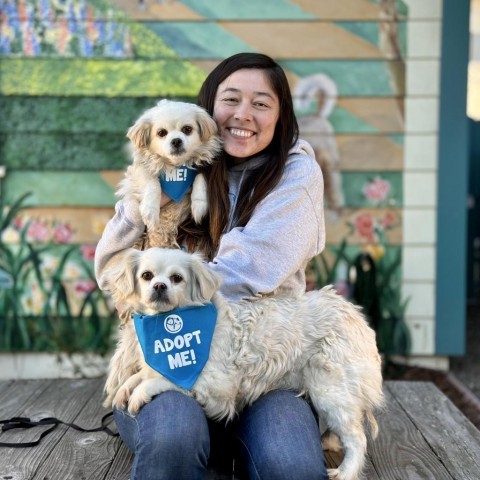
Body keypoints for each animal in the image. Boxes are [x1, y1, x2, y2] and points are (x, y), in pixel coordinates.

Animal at [104, 248, 382, 480]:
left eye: (177, 278)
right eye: (146, 275)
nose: (159, 285)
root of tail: (357, 317)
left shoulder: (218, 387)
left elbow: (166, 379)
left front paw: (140, 391)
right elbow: (144, 375)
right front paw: (127, 386)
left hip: (329, 389)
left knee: (357, 438)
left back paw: (345, 472)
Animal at [117, 97, 222, 248]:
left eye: (187, 129)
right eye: (161, 133)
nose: (176, 140)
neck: (175, 167)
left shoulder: (203, 166)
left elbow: (200, 177)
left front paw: (199, 205)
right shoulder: (138, 170)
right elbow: (152, 183)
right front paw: (150, 210)